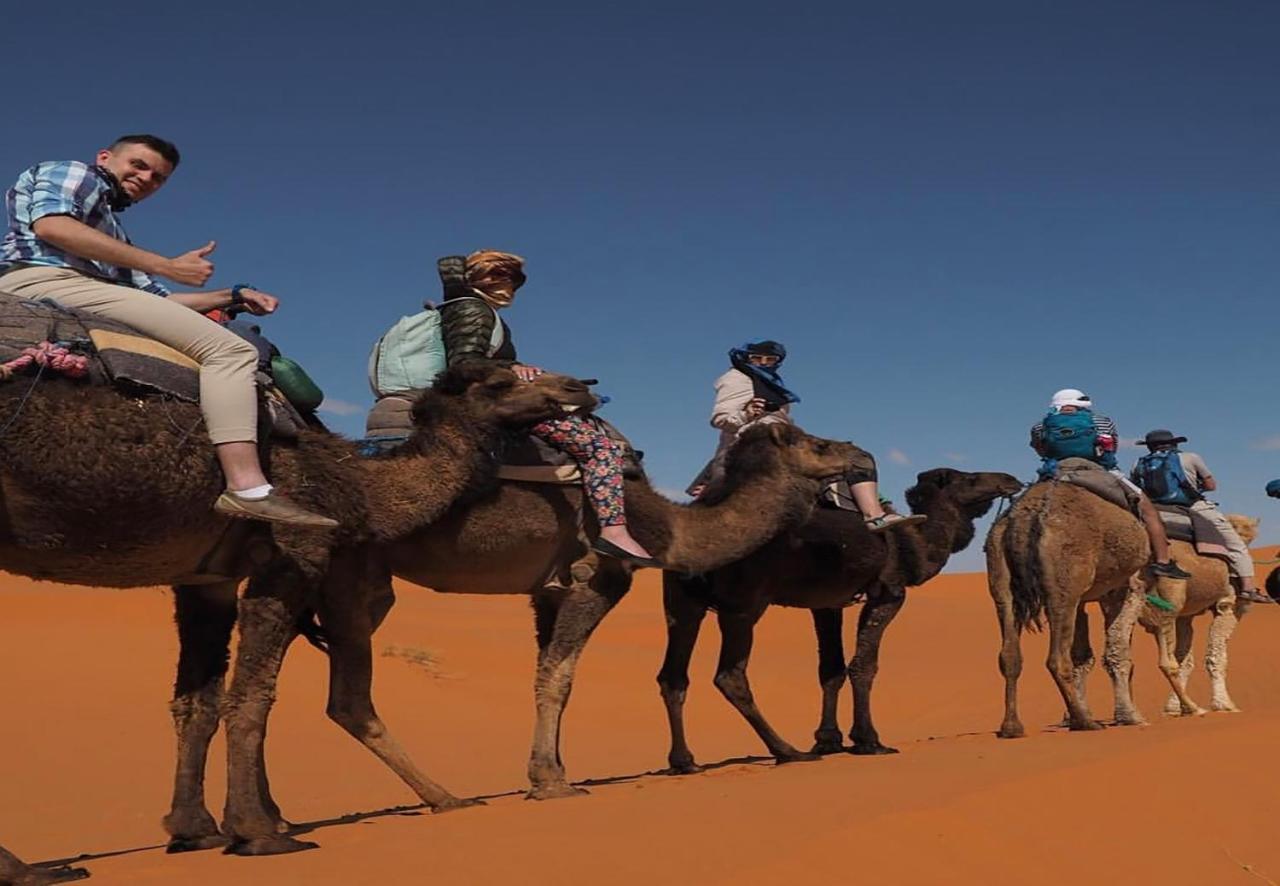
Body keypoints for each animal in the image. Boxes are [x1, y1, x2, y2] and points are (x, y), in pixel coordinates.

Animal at [0, 361, 593, 870]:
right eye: (500, 382)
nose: (577, 387)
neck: (361, 485)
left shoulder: (204, 580)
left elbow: (197, 703)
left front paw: (194, 829)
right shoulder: (295, 552)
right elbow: (252, 697)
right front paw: (256, 832)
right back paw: (31, 869)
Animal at [172, 425, 870, 860]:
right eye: (818, 442)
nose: (863, 456)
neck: (670, 527)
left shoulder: (547, 592)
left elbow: (547, 672)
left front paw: (550, 770)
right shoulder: (600, 576)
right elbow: (559, 676)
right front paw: (551, 782)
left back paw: (256, 819)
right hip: (348, 576)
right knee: (337, 695)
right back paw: (430, 799)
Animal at [660, 466, 1018, 773]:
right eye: (970, 478)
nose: (1010, 479)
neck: (917, 542)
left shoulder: (826, 605)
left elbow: (831, 671)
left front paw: (828, 740)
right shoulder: (888, 593)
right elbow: (863, 665)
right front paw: (868, 741)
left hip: (681, 604)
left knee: (672, 676)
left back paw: (684, 761)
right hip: (744, 605)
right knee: (730, 676)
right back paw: (787, 751)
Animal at [977, 473, 1187, 737]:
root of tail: (1024, 520)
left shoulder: (1084, 600)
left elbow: (1084, 655)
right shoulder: (1126, 588)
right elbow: (1117, 649)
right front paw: (1131, 717)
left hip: (1000, 574)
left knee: (1009, 654)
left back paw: (1012, 727)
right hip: (1064, 580)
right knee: (1056, 658)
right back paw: (1085, 722)